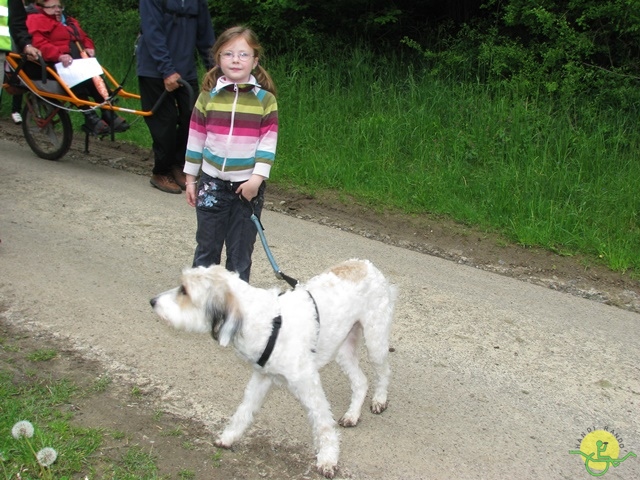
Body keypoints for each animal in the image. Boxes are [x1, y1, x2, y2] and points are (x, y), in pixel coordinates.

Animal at [152, 258, 398, 476]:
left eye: (184, 290)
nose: (152, 301)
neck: (266, 323)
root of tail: (366, 264)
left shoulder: (308, 383)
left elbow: (323, 424)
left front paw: (328, 459)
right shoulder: (261, 378)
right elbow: (243, 411)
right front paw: (229, 437)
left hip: (375, 341)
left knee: (383, 373)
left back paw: (379, 401)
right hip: (343, 348)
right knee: (361, 381)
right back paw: (352, 415)